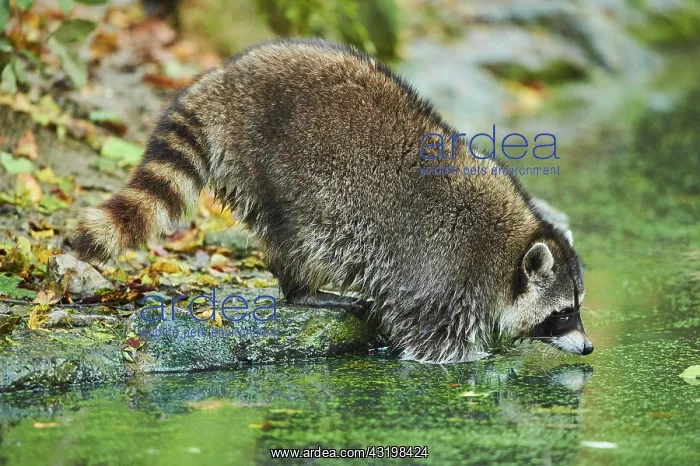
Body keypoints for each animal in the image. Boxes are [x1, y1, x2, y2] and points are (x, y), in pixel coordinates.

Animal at [73, 39, 592, 363]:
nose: (589, 347)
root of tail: (227, 77)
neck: (508, 248)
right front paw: (478, 358)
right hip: (273, 168)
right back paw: (304, 289)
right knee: (303, 239)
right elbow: (434, 345)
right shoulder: (444, 277)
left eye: (576, 308)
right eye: (563, 314)